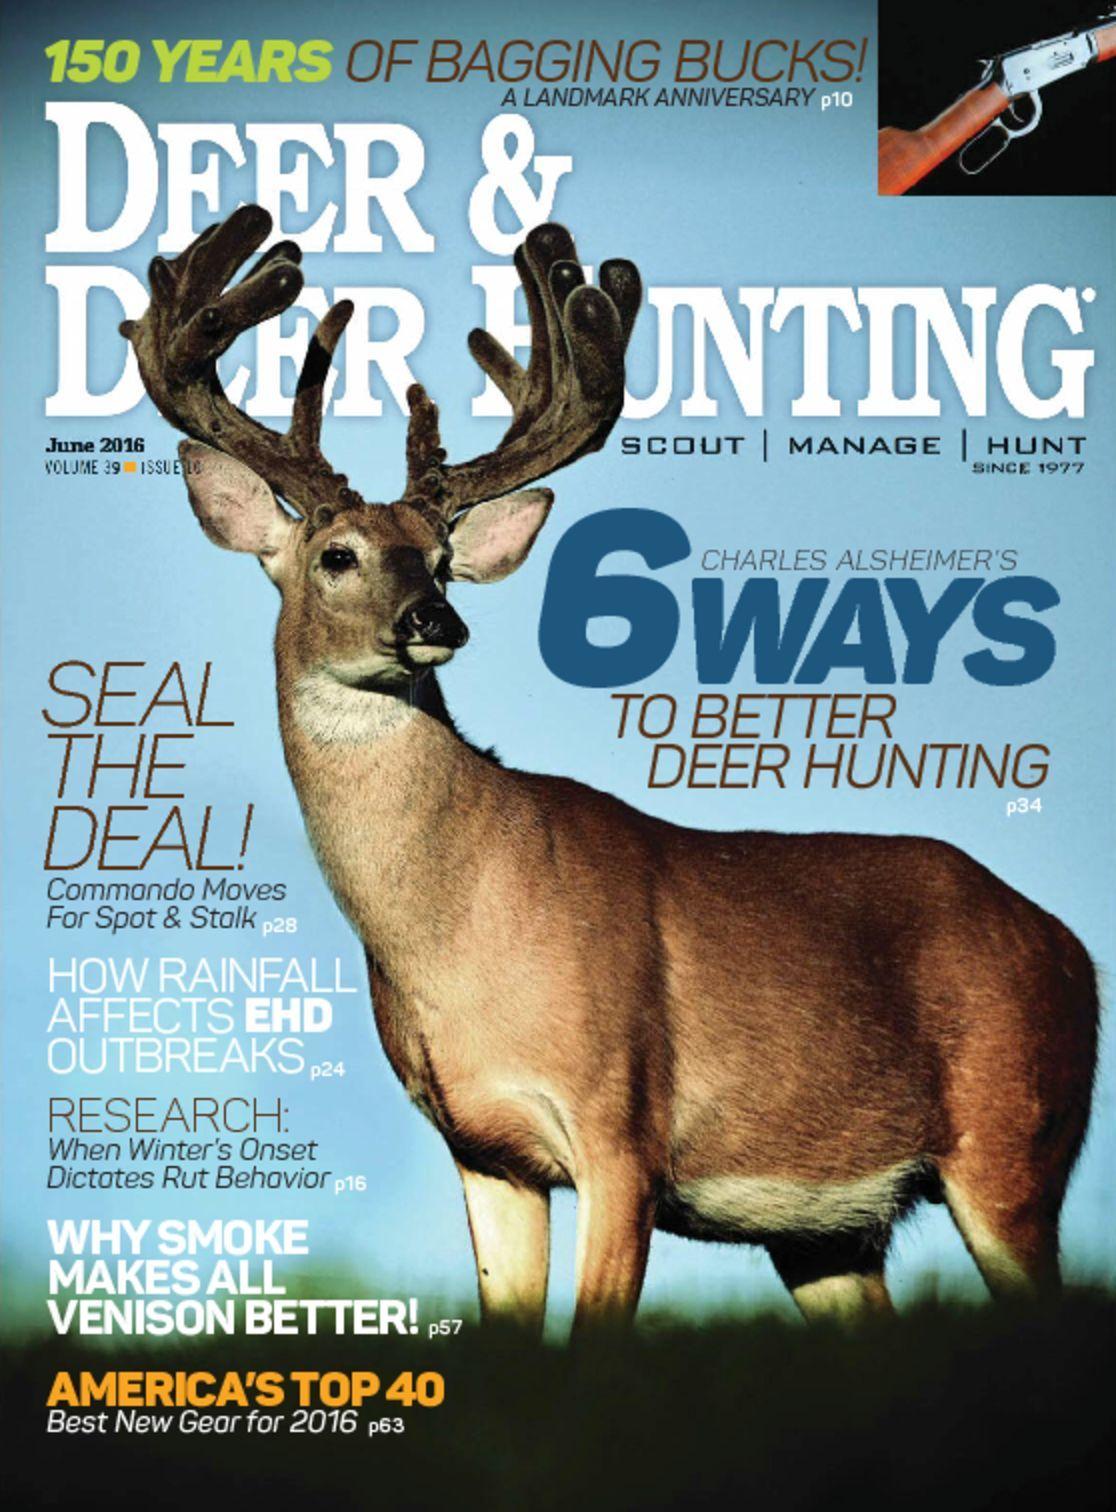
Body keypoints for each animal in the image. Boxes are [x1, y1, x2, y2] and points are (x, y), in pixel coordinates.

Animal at [122, 205, 1098, 1334]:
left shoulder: (622, 1123)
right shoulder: (486, 1152)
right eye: (338, 555)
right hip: (827, 1230)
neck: (459, 941)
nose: (435, 620)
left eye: (445, 559)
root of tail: (1074, 949)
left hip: (1015, 1141)